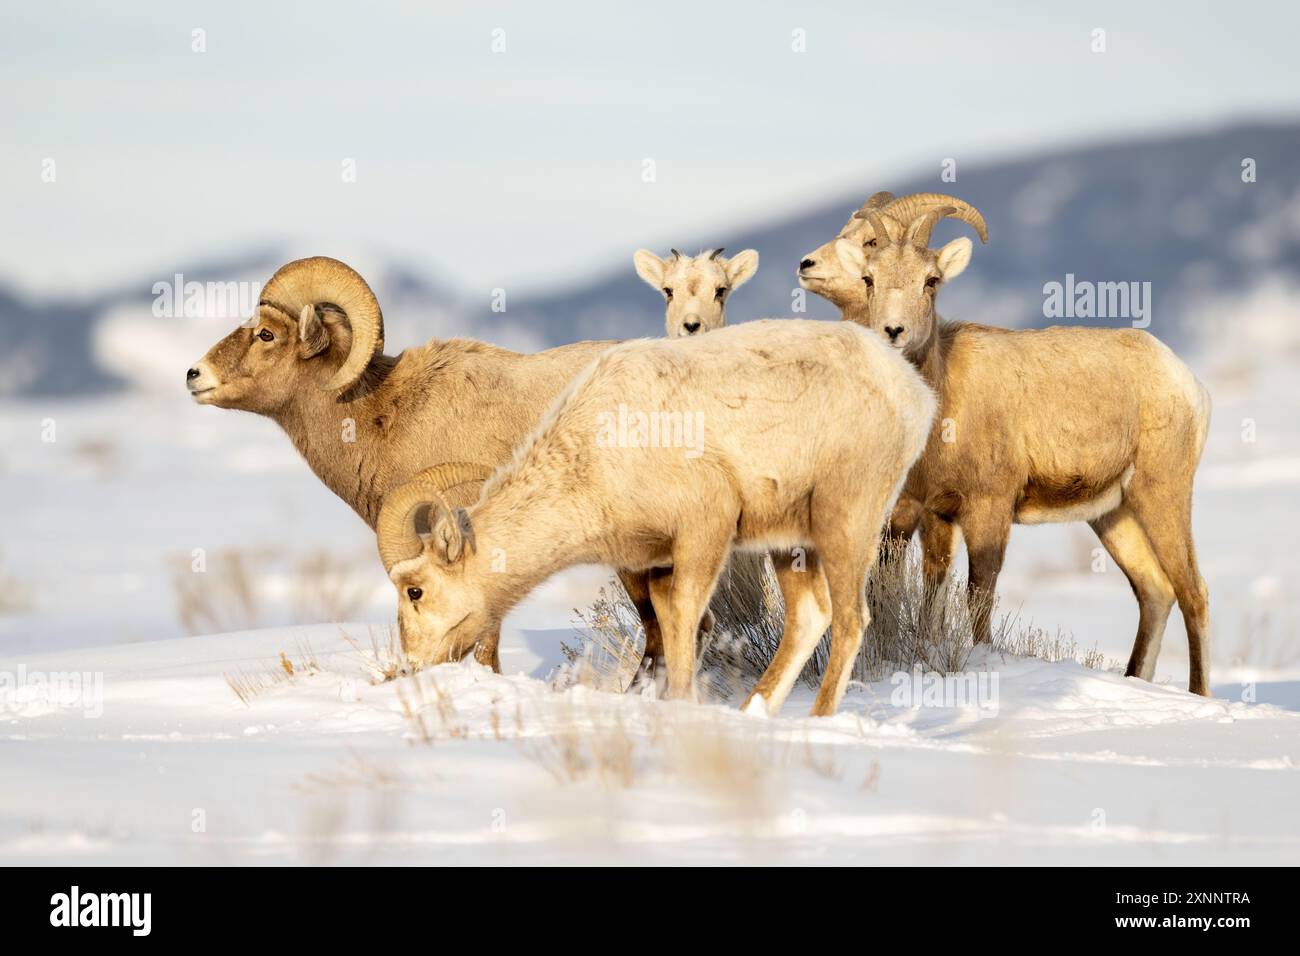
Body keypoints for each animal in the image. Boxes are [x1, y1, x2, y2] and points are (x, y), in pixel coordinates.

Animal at [377, 321, 935, 717]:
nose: (411, 668)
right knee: (810, 616)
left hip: (847, 521)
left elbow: (686, 616)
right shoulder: (659, 563)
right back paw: (754, 712)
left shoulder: (704, 530)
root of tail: (915, 393)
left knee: (850, 620)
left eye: (415, 590)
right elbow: (668, 621)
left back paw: (817, 719)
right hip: (789, 541)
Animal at [826, 201, 1211, 697]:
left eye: (931, 280)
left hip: (1162, 495)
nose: (894, 331)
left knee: (1193, 592)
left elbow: (979, 595)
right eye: (869, 278)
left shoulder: (989, 510)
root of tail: (1184, 380)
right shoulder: (936, 514)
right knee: (1155, 591)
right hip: (1113, 514)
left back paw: (1199, 693)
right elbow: (933, 593)